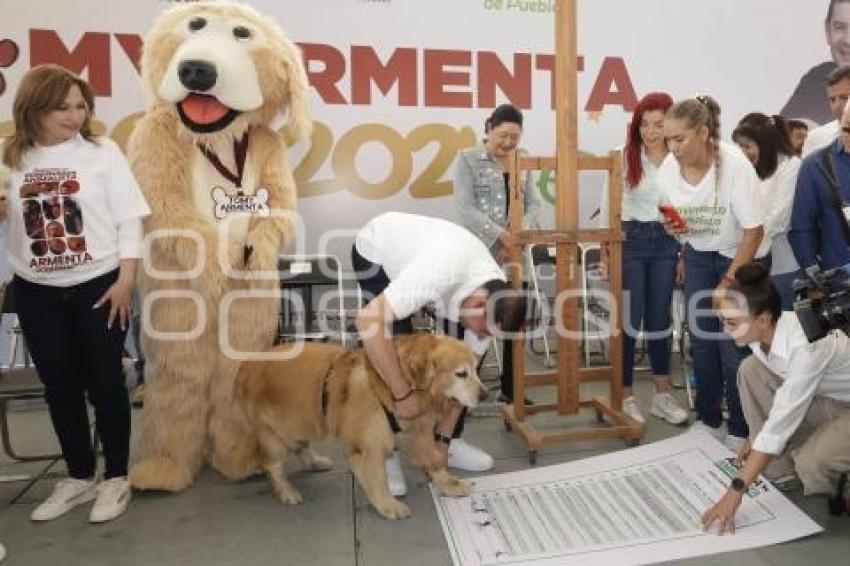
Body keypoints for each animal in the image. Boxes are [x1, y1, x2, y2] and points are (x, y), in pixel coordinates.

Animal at [235, 336, 480, 520]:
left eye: (476, 370)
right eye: (461, 373)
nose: (485, 394)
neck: (397, 384)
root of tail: (247, 364)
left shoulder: (417, 433)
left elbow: (434, 461)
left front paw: (450, 484)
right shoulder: (368, 447)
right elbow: (378, 479)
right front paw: (388, 504)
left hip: (303, 419)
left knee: (300, 445)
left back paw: (315, 462)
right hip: (277, 432)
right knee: (272, 464)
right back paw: (287, 491)